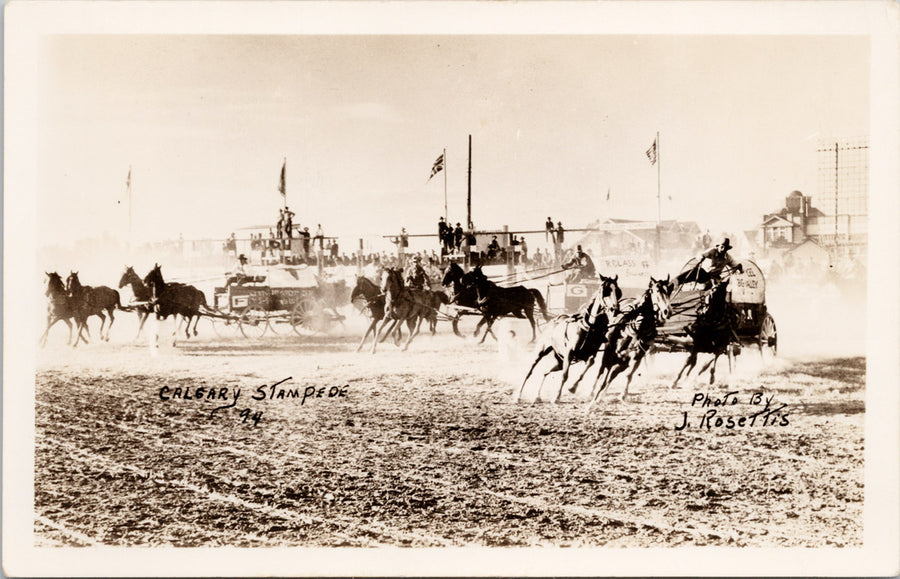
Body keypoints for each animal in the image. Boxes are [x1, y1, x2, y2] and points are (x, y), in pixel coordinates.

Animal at [516, 276, 624, 404]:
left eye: (618, 291)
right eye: (605, 290)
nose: (614, 309)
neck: (589, 327)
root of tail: (553, 321)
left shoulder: (589, 354)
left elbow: (590, 363)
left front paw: (573, 387)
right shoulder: (569, 353)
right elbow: (565, 375)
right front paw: (557, 397)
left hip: (559, 360)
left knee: (545, 372)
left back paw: (537, 396)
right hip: (541, 352)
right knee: (529, 371)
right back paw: (518, 395)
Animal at [588, 278, 672, 408]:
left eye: (669, 291)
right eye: (656, 290)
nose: (667, 311)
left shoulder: (636, 356)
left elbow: (627, 375)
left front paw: (622, 395)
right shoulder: (609, 354)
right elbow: (603, 375)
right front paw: (593, 400)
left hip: (624, 361)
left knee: (613, 374)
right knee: (602, 371)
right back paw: (592, 392)